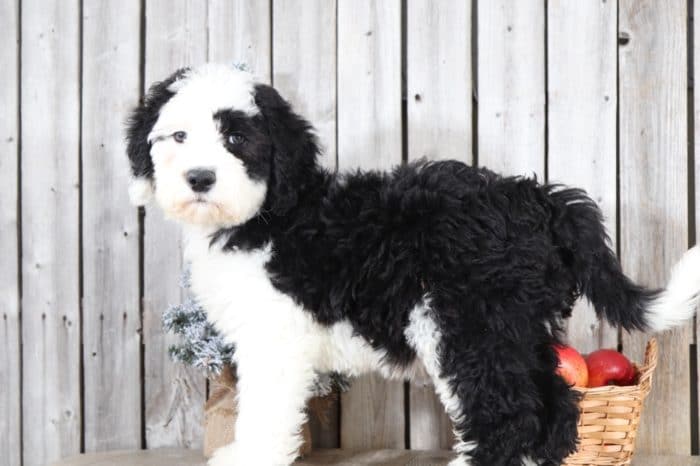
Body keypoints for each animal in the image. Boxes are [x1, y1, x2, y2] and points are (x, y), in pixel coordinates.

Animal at [126, 62, 700, 466]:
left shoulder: (273, 338)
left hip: (464, 322)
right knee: (554, 406)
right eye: (178, 137)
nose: (200, 178)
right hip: (516, 326)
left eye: (236, 138)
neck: (267, 213)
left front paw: (250, 457)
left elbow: (263, 410)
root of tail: (538, 199)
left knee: (508, 412)